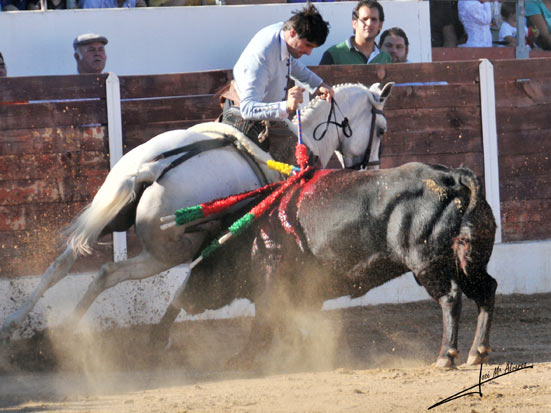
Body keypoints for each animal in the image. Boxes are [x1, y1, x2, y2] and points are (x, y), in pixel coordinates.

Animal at [0, 80, 392, 342]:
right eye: (382, 130)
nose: (369, 166)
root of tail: (149, 169)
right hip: (167, 252)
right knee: (111, 272)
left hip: (109, 216)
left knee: (68, 263)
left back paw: (21, 325)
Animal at [153, 161, 498, 366]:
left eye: (207, 257)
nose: (184, 297)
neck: (249, 235)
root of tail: (450, 177)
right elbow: (288, 325)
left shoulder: (270, 290)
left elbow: (262, 325)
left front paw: (243, 358)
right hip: (468, 263)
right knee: (487, 291)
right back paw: (476, 353)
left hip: (427, 265)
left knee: (450, 298)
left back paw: (445, 357)